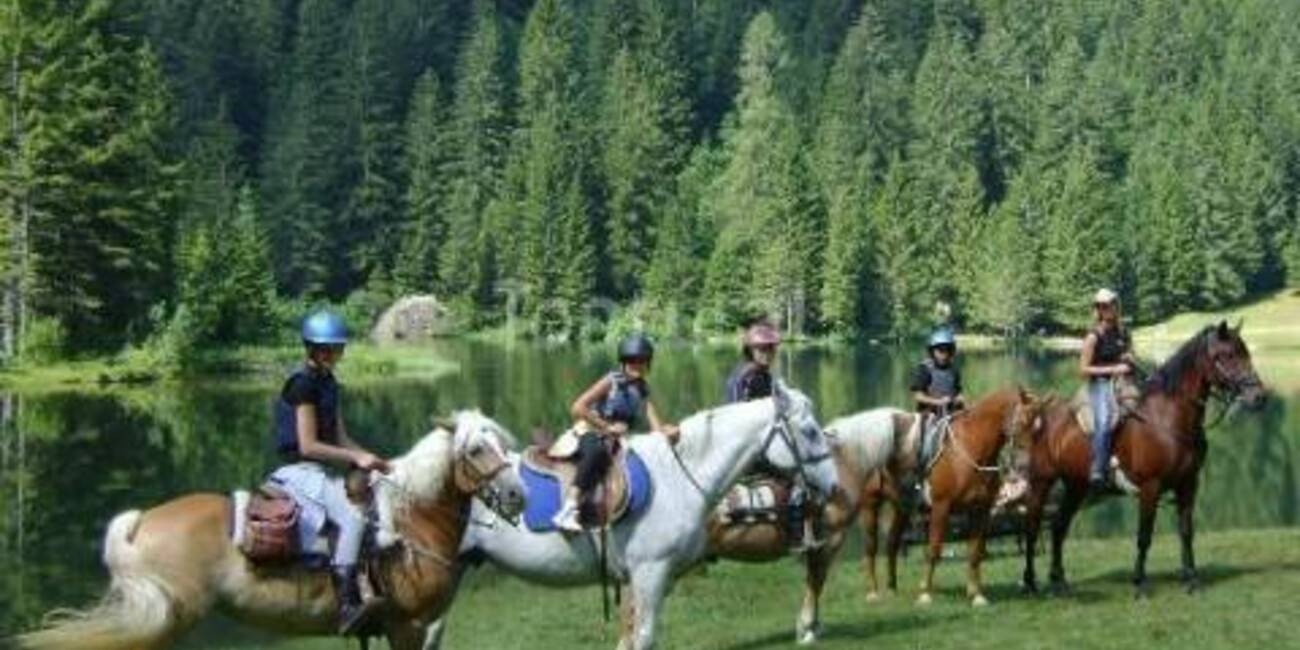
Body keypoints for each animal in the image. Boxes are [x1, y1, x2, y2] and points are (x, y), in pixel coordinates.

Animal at [8, 410, 526, 650]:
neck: (410, 523)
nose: (518, 496)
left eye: (503, 443)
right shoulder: (409, 626)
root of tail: (140, 523)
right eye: (476, 449)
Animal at [426, 385, 839, 650]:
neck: (680, 475)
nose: (834, 485)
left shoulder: (654, 577)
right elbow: (644, 637)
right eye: (809, 431)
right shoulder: (650, 572)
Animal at [705, 406, 916, 644]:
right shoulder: (829, 540)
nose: (915, 499)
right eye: (909, 457)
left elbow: (814, 581)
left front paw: (810, 626)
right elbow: (816, 581)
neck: (840, 469)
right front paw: (808, 628)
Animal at [1020, 322, 1266, 598]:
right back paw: (1030, 583)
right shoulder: (1151, 487)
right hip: (1041, 482)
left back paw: (1059, 582)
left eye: (1245, 352)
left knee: (1058, 526)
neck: (1168, 420)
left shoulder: (1189, 484)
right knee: (1032, 527)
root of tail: (1042, 415)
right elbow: (1144, 536)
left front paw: (1191, 579)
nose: (1258, 396)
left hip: (1077, 486)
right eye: (1227, 355)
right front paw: (1139, 584)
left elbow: (1186, 531)